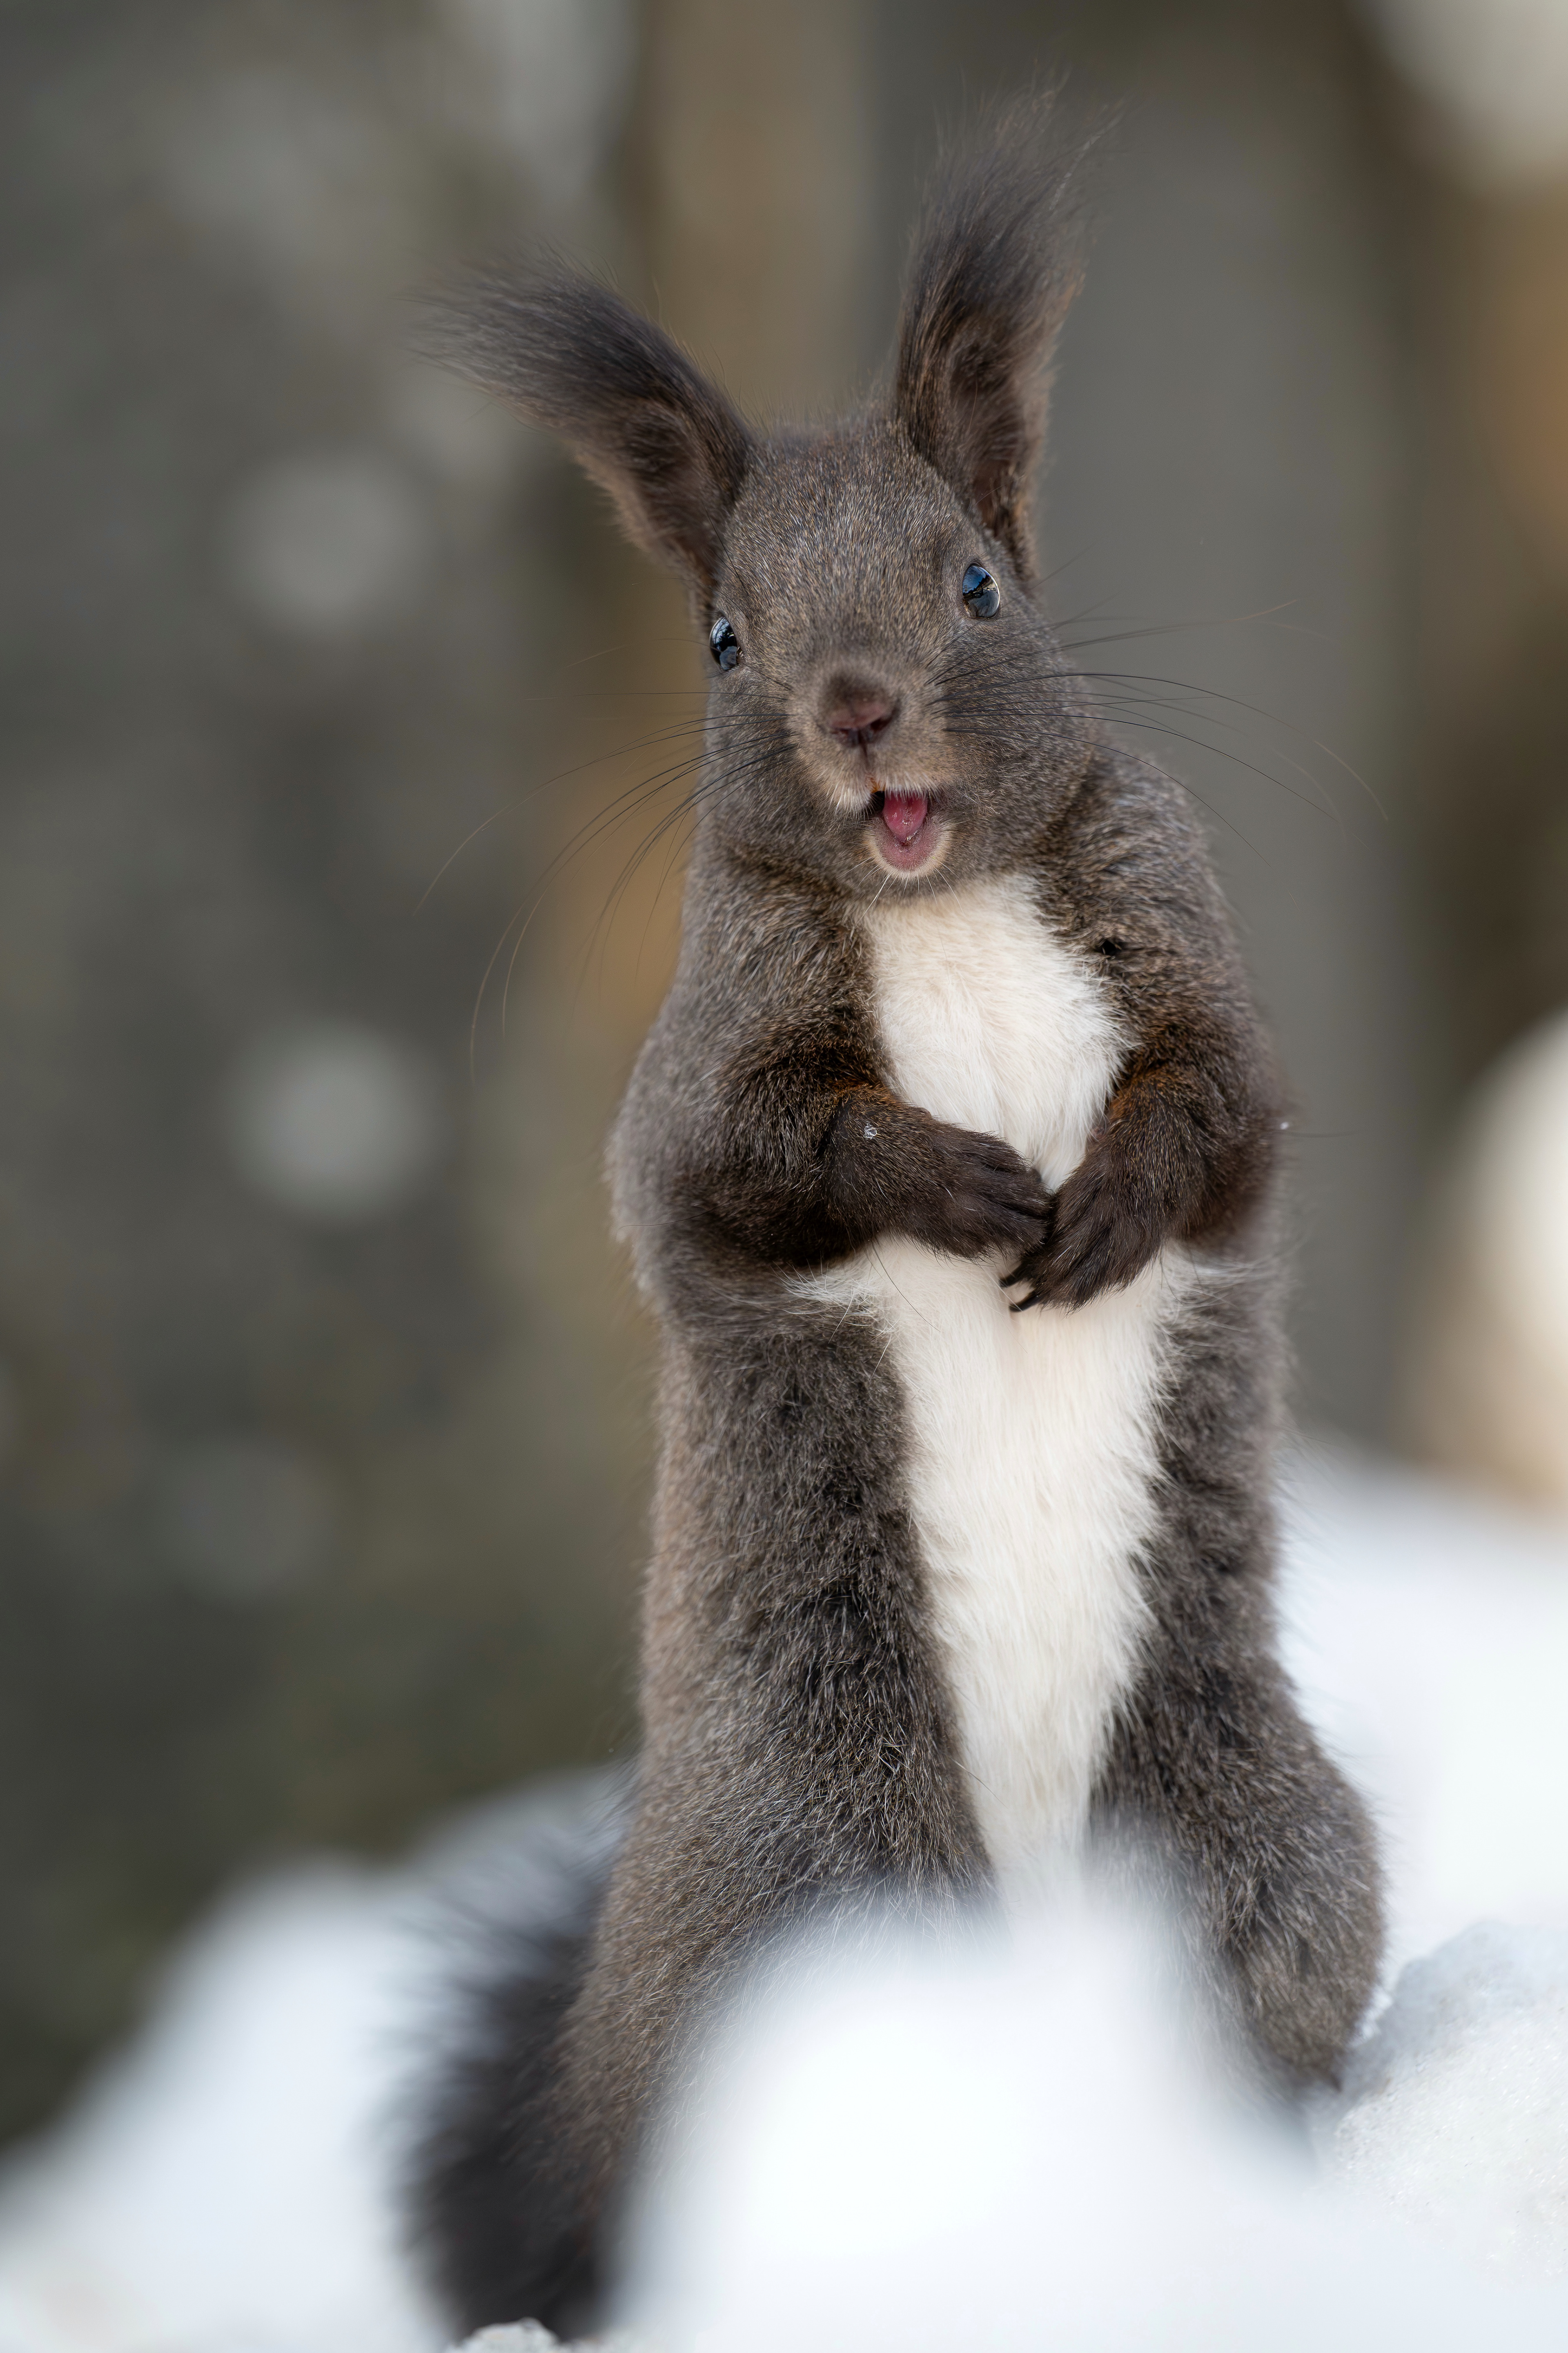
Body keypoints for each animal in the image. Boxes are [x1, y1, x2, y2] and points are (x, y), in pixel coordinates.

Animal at [411, 107, 1385, 2341]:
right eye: (723, 638)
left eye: (977, 578)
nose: (859, 708)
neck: (944, 901)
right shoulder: (700, 1082)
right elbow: (763, 1161)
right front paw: (956, 1182)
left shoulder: (1199, 972)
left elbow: (1219, 1117)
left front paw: (1102, 1203)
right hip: (812, 1872)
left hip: (1254, 1848)